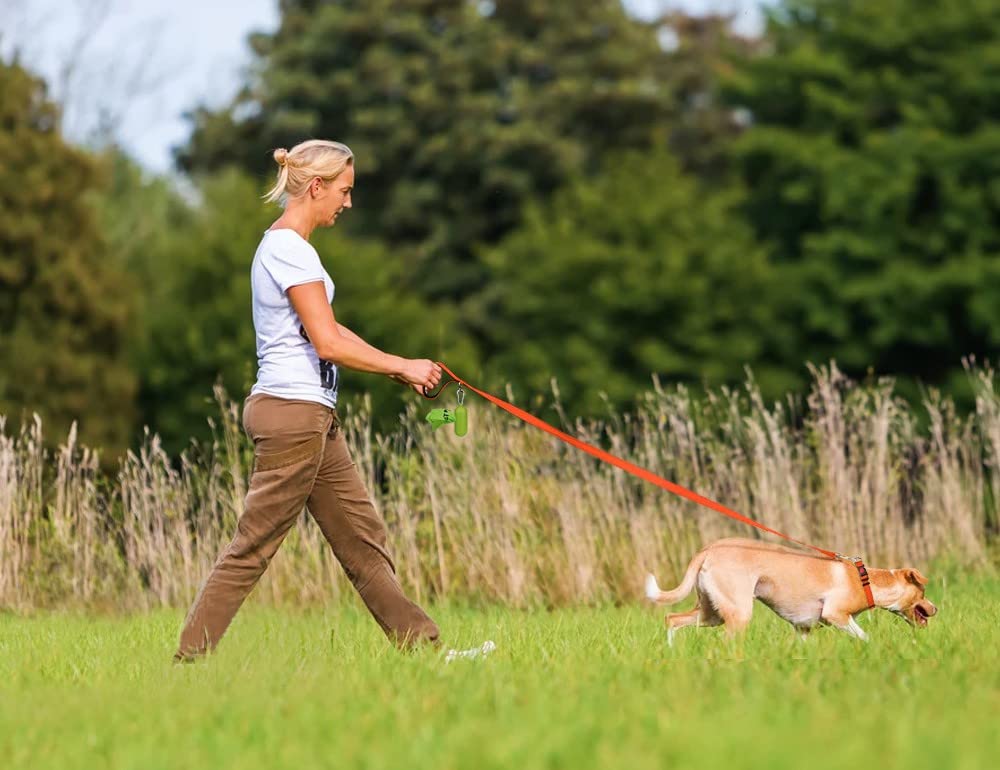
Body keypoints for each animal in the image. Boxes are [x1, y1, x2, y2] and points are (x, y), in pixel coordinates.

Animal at [648, 536, 936, 640]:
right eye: (922, 593)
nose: (936, 608)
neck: (864, 580)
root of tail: (709, 548)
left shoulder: (803, 629)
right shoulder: (836, 615)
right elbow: (864, 637)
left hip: (711, 612)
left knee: (672, 619)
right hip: (738, 613)